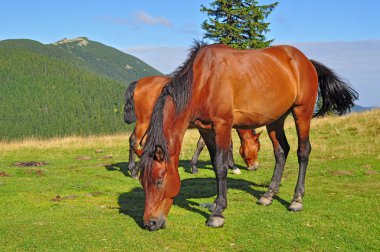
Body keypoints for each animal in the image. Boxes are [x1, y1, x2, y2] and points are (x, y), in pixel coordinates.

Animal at [124, 76, 262, 178]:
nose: (255, 166)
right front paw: (233, 166)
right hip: (144, 121)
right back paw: (133, 170)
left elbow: (202, 144)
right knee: (134, 141)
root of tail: (138, 82)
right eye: (257, 148)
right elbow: (227, 145)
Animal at [138, 41, 358, 230]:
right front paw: (216, 204)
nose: (150, 223)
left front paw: (218, 212)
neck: (203, 80)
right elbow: (215, 163)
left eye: (159, 181)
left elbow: (221, 165)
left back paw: (296, 200)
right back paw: (268, 195)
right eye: (142, 181)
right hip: (275, 119)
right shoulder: (206, 129)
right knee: (281, 152)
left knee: (303, 151)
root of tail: (306, 61)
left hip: (302, 112)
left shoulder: (223, 125)